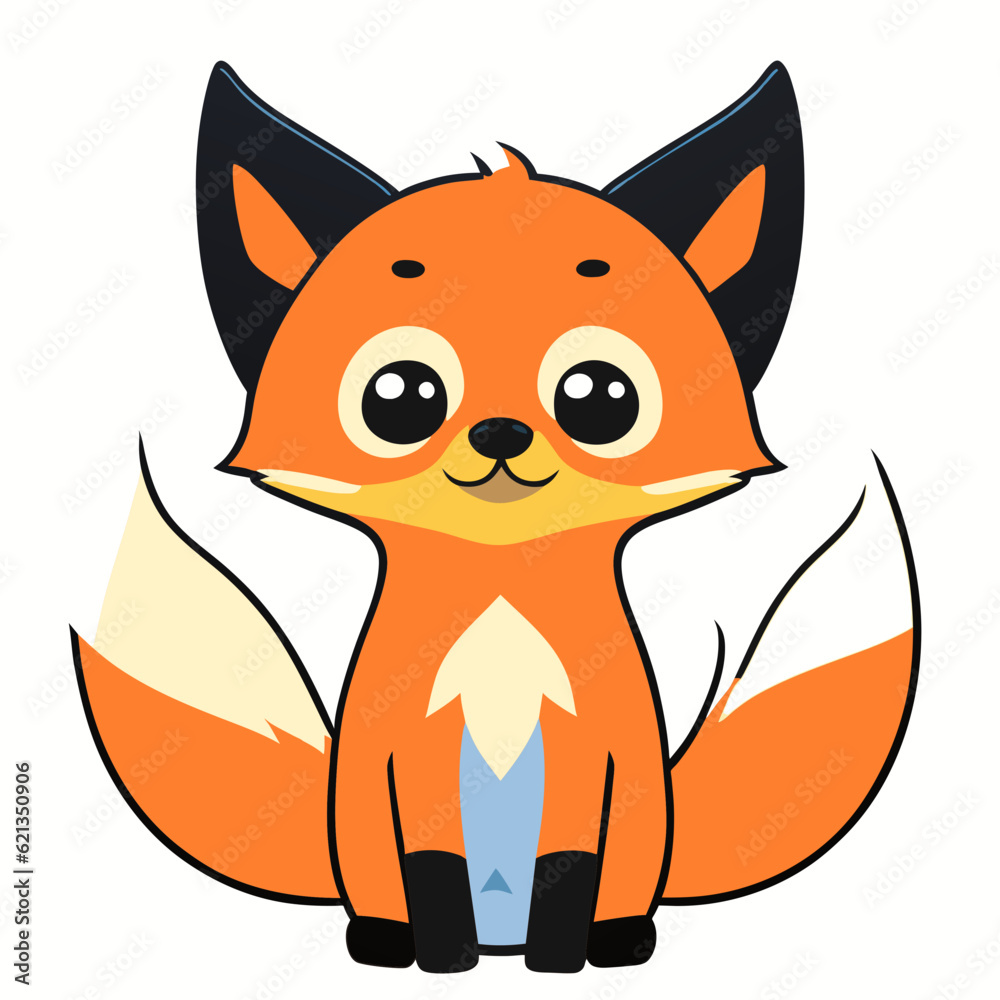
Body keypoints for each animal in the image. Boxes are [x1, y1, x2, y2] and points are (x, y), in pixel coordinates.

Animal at [73, 61, 919, 975]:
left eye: (600, 397)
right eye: (401, 396)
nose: (502, 433)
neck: (500, 605)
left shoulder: (595, 754)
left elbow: (567, 863)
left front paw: (561, 957)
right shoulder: (406, 755)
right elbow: (432, 864)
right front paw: (442, 957)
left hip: (642, 829)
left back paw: (618, 939)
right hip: (358, 832)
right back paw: (386, 939)